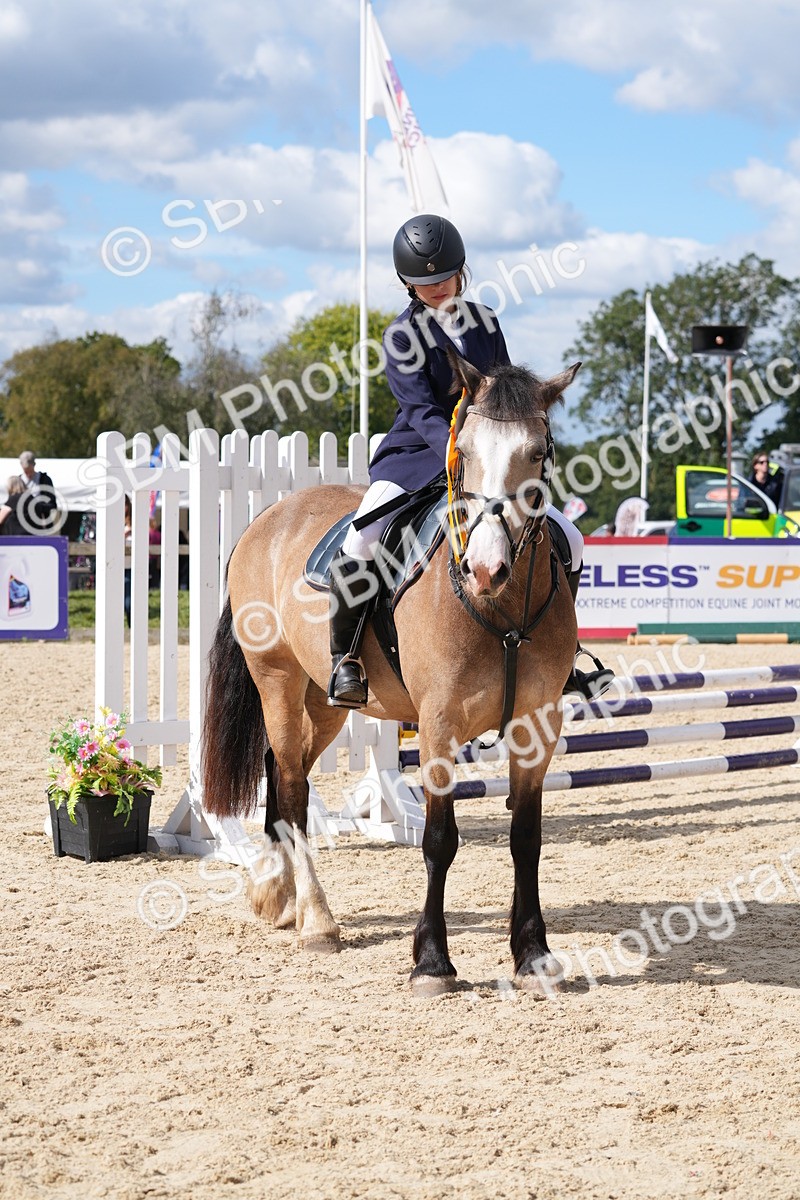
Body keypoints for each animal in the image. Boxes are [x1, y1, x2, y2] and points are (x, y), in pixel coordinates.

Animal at [202, 351, 580, 996]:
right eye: (463, 451)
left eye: (537, 451)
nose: (486, 568)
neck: (500, 609)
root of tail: (267, 518)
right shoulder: (437, 725)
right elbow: (439, 840)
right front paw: (431, 961)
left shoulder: (538, 726)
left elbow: (526, 839)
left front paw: (533, 954)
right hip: (276, 680)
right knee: (294, 790)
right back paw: (317, 921)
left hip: (324, 701)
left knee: (282, 772)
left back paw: (279, 896)